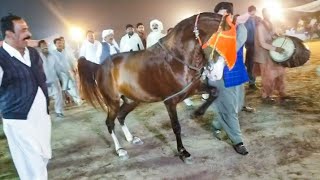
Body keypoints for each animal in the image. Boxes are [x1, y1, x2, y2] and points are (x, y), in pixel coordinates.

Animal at [77, 11, 222, 162]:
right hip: (113, 102)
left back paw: (131, 138)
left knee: (121, 116)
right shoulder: (170, 101)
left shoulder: (192, 89)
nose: (215, 72)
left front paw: (197, 113)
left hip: (132, 100)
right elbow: (176, 126)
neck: (176, 59)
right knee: (109, 123)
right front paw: (182, 151)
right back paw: (120, 150)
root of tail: (99, 67)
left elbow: (215, 92)